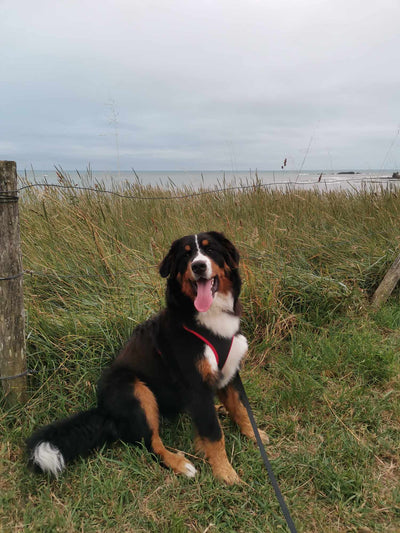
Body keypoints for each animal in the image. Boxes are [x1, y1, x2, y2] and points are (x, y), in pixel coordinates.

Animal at [26, 231, 268, 484]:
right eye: (186, 255)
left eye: (210, 250)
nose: (198, 266)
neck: (207, 318)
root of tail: (104, 411)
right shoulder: (196, 385)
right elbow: (213, 434)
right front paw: (225, 473)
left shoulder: (230, 371)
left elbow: (241, 408)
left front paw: (254, 435)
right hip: (136, 390)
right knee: (151, 444)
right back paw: (179, 463)